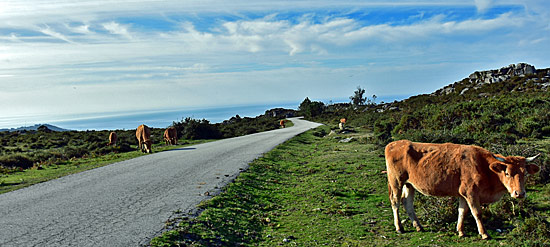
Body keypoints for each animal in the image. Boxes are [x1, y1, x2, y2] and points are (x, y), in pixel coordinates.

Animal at [388, 141, 544, 239]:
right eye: (507, 173)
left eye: (525, 173)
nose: (520, 193)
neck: (485, 167)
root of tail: (395, 143)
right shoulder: (471, 193)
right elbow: (477, 213)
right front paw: (484, 233)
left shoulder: (463, 194)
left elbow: (462, 212)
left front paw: (460, 231)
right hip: (396, 182)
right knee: (395, 202)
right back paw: (399, 227)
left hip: (410, 185)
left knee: (407, 202)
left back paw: (418, 226)